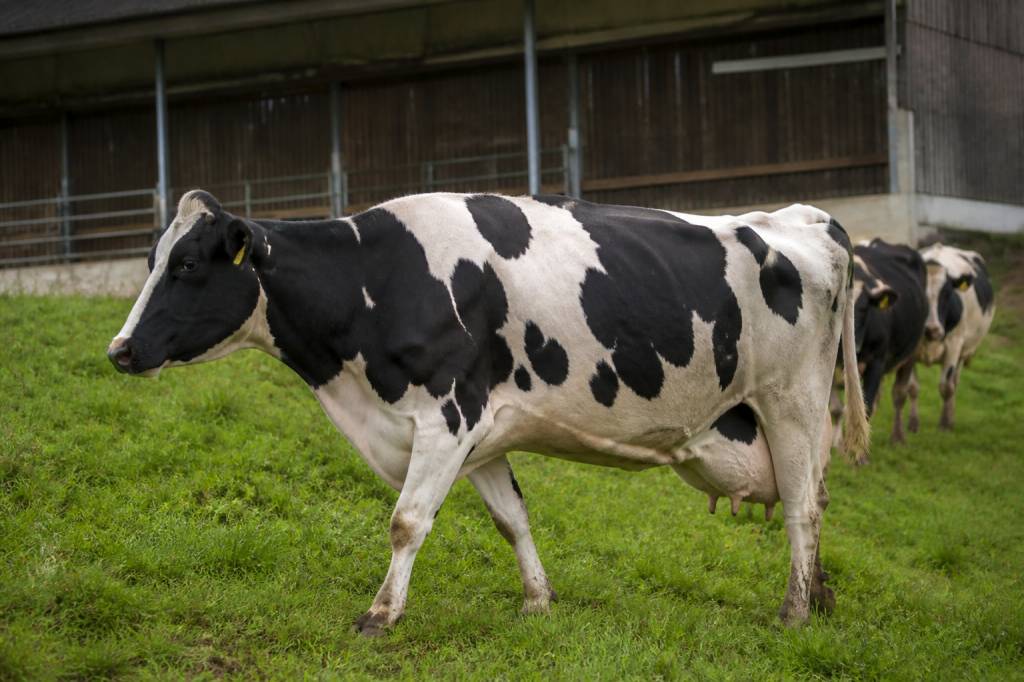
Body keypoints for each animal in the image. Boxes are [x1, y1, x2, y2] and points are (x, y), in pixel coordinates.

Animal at [107, 190, 869, 634]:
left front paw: (381, 613)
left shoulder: (446, 414)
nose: (120, 349)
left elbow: (406, 522)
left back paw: (794, 612)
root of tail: (803, 217)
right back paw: (822, 597)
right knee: (818, 499)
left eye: (187, 267)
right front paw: (537, 600)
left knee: (802, 509)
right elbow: (512, 520)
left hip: (794, 402)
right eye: (150, 260)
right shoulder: (481, 430)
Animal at [829, 239, 928, 456]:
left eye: (864, 308)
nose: (854, 346)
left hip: (910, 353)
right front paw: (838, 446)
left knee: (899, 394)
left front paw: (860, 456)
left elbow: (866, 408)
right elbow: (837, 409)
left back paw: (898, 437)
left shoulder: (877, 362)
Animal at [911, 243, 995, 430]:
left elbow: (946, 387)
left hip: (963, 352)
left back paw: (950, 416)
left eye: (947, 294)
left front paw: (945, 424)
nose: (932, 328)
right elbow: (912, 387)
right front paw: (913, 424)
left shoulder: (954, 345)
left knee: (954, 383)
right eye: (920, 293)